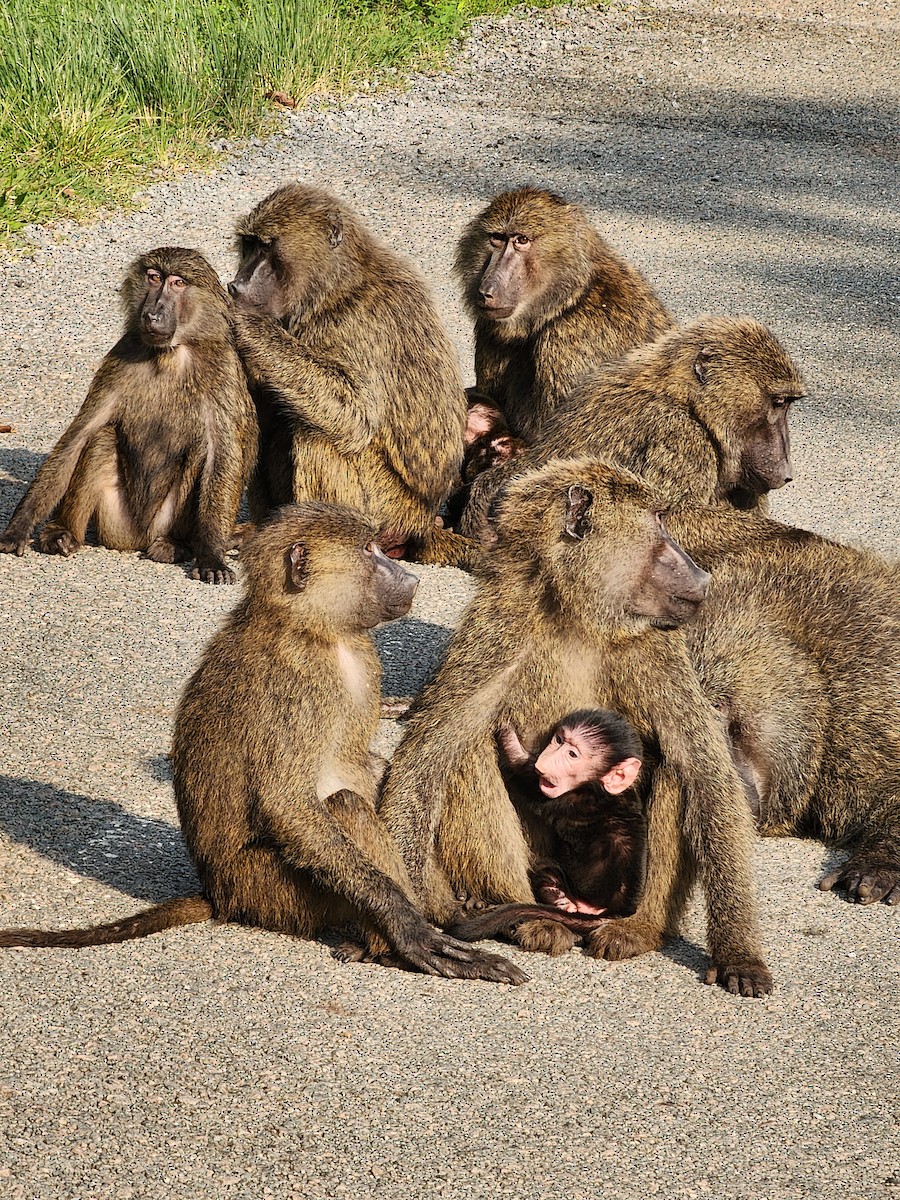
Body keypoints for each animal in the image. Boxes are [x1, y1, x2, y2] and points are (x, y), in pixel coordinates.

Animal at [0, 248, 257, 584]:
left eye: (178, 283)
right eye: (154, 277)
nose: (153, 314)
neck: (169, 354)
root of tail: (135, 540)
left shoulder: (223, 370)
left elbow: (221, 456)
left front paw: (212, 557)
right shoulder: (120, 359)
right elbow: (79, 436)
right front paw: (17, 528)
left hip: (161, 522)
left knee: (199, 452)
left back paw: (175, 545)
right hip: (112, 519)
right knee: (101, 437)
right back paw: (62, 534)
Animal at [0, 503, 528, 986]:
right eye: (368, 550)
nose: (410, 577)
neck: (314, 628)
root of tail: (221, 894)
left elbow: (369, 767)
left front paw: (444, 912)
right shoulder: (295, 686)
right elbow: (286, 803)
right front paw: (411, 930)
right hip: (270, 889)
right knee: (346, 806)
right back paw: (387, 949)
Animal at [228, 182, 477, 570]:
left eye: (267, 247)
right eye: (249, 245)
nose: (237, 285)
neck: (331, 288)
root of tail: (422, 523)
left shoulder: (358, 325)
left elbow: (357, 415)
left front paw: (248, 325)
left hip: (387, 507)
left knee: (321, 437)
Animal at [379, 457, 775, 998]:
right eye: (658, 522)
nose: (702, 574)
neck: (575, 613)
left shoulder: (655, 647)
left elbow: (704, 767)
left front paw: (739, 953)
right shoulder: (497, 632)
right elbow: (429, 753)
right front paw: (412, 928)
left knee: (675, 766)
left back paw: (638, 928)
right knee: (468, 753)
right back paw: (528, 917)